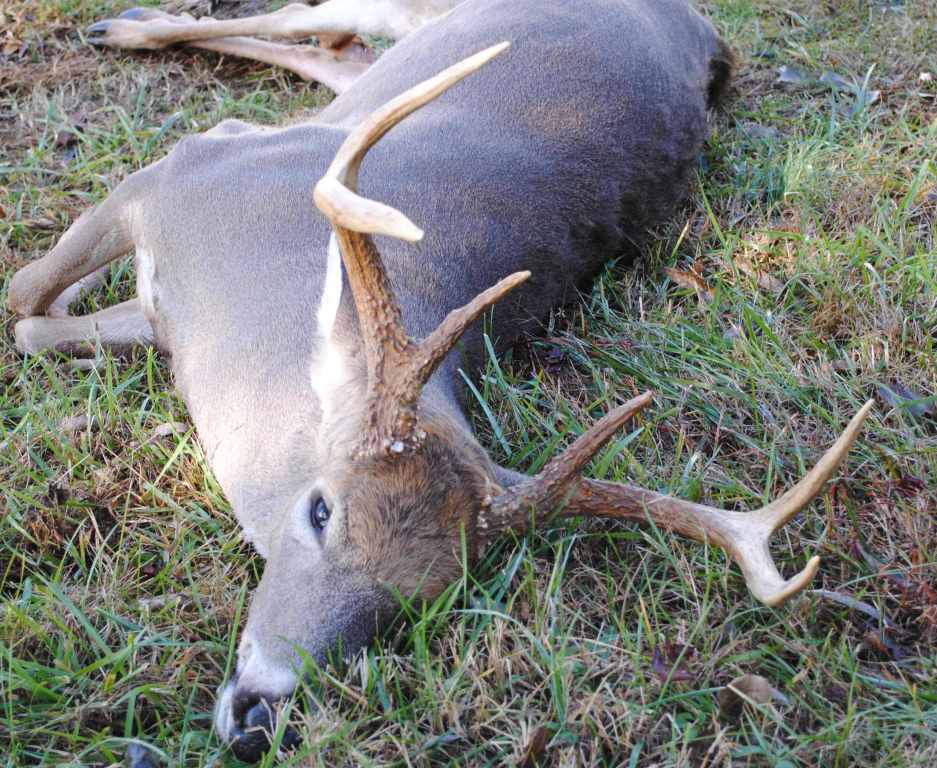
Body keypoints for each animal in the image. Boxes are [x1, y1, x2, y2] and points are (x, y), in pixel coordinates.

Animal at [7, 0, 874, 761]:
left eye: (416, 602)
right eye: (320, 510)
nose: (261, 717)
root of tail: (699, 27)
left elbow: (36, 322)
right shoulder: (187, 170)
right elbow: (23, 298)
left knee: (337, 50)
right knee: (307, 23)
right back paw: (120, 25)